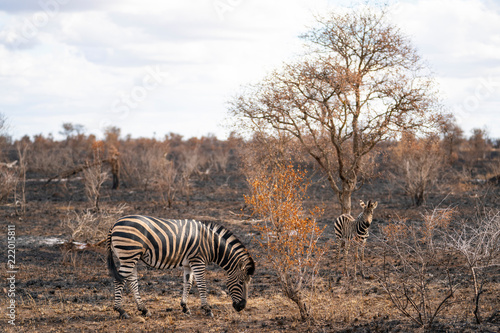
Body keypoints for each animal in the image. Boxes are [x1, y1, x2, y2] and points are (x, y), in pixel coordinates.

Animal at [105, 214, 254, 318]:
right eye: (241, 282)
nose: (242, 307)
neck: (211, 244)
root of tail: (114, 224)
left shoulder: (189, 264)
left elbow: (188, 283)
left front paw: (185, 307)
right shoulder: (198, 260)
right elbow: (201, 284)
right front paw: (207, 309)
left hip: (130, 257)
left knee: (132, 281)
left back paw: (144, 309)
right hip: (129, 255)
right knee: (119, 280)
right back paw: (121, 311)